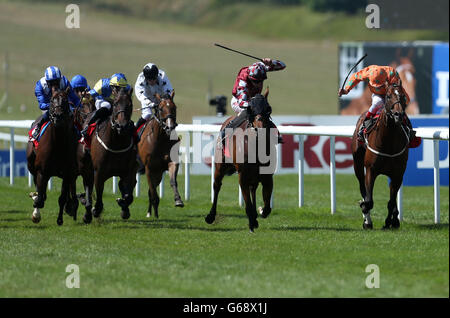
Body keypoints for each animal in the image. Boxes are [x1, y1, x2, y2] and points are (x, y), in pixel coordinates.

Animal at [26, 87, 79, 225]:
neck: (58, 144)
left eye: (65, 100)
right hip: (32, 166)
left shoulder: (67, 174)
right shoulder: (41, 172)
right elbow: (39, 198)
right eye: (51, 100)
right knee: (39, 190)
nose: (57, 116)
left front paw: (60, 219)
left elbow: (62, 198)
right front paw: (36, 214)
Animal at [86, 87, 137, 221]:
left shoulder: (129, 171)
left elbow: (128, 195)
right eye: (115, 104)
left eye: (130, 105)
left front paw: (123, 205)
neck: (116, 143)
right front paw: (96, 210)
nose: (121, 126)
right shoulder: (99, 172)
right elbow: (98, 193)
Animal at [204, 88, 274, 232]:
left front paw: (259, 211)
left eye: (268, 109)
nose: (260, 128)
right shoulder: (243, 175)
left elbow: (267, 208)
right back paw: (211, 216)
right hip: (220, 166)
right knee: (217, 186)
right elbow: (247, 202)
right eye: (250, 109)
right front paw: (252, 221)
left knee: (253, 188)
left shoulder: (267, 176)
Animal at [352, 82, 412, 230]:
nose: (398, 114)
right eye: (388, 96)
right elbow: (368, 200)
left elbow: (391, 201)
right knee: (362, 187)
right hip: (357, 163)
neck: (388, 142)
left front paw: (390, 221)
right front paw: (366, 217)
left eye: (403, 96)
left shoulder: (398, 174)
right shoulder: (371, 170)